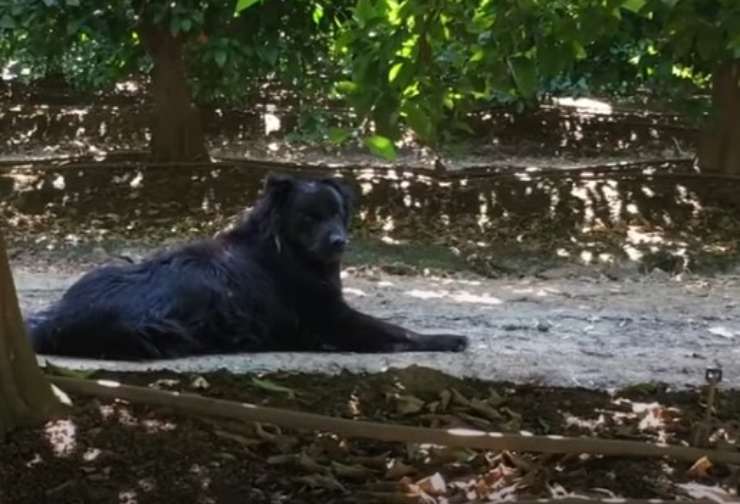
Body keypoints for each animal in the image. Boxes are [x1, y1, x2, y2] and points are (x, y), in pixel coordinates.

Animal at [30, 175, 468, 360]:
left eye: (337, 214)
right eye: (309, 218)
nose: (338, 242)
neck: (284, 248)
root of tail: (58, 321)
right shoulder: (330, 319)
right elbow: (397, 330)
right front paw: (446, 338)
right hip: (165, 332)